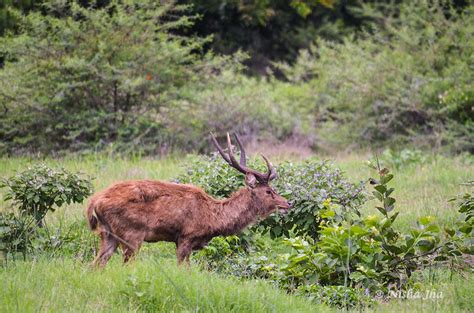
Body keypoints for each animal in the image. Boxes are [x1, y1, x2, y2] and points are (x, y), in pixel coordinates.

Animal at [86, 132, 290, 266]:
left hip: (108, 234)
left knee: (95, 265)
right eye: (269, 191)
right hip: (131, 233)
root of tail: (94, 202)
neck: (213, 219)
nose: (288, 203)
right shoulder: (186, 236)